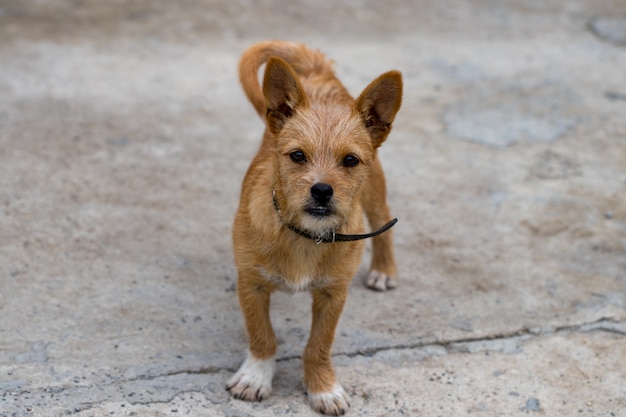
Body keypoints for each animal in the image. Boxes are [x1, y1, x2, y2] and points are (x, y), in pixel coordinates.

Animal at [227, 40, 402, 414]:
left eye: (350, 160)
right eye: (297, 156)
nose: (322, 191)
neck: (304, 236)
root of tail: (318, 74)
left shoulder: (333, 294)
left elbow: (319, 344)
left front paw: (323, 387)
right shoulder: (250, 284)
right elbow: (262, 334)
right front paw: (255, 376)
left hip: (374, 192)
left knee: (385, 220)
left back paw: (384, 268)